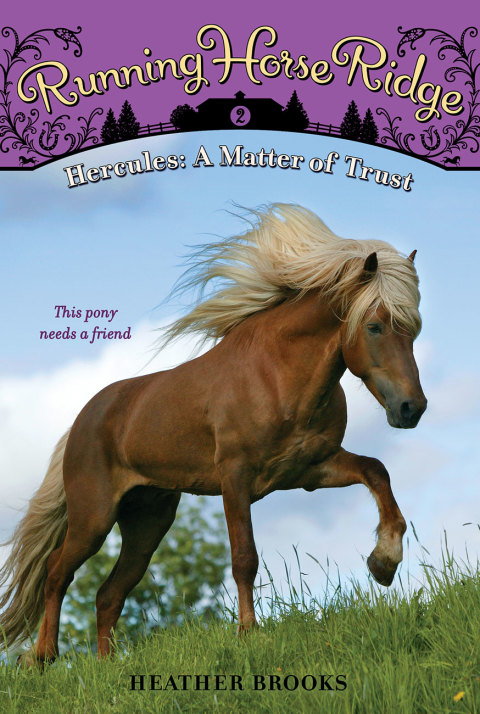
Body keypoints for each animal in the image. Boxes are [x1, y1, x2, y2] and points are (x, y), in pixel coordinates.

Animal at [0, 203, 427, 665]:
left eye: (413, 329)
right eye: (375, 326)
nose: (412, 408)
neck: (276, 376)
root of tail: (81, 423)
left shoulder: (311, 470)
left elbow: (377, 471)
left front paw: (384, 562)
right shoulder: (235, 476)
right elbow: (244, 557)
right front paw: (248, 633)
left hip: (147, 521)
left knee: (108, 593)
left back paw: (105, 666)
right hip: (93, 517)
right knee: (57, 571)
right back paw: (42, 657)